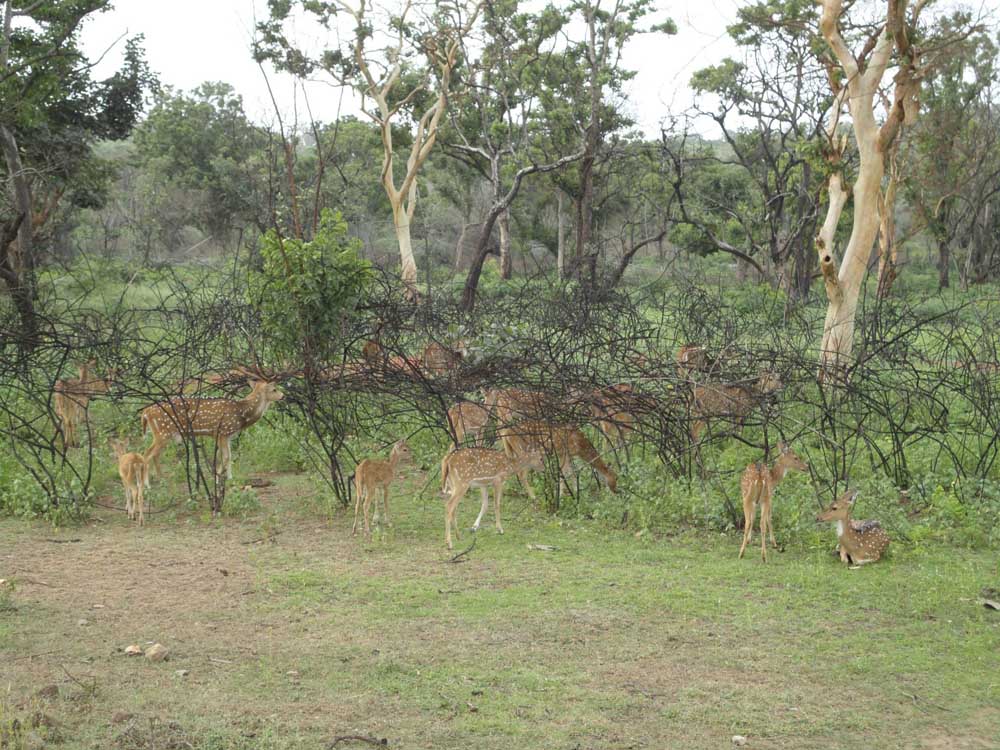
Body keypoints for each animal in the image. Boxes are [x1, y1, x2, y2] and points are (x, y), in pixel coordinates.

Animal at [140, 382, 286, 482]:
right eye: (274, 389)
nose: (283, 395)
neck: (242, 414)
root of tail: (146, 412)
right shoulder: (221, 432)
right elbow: (225, 457)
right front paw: (217, 477)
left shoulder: (227, 436)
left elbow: (229, 456)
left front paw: (230, 477)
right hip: (162, 433)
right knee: (147, 454)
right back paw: (147, 484)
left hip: (163, 435)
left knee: (155, 455)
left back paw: (161, 479)